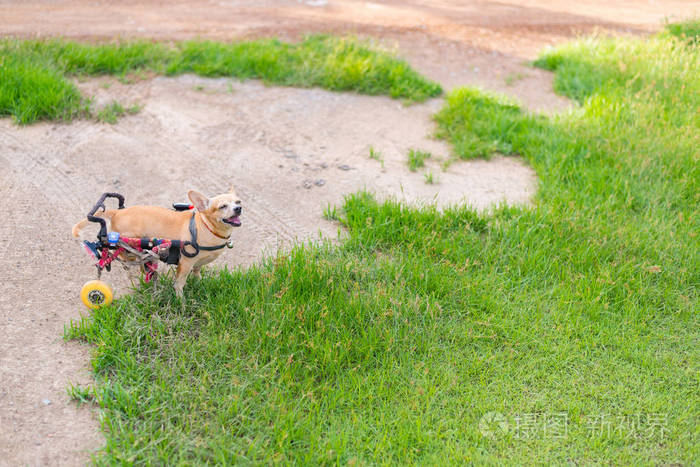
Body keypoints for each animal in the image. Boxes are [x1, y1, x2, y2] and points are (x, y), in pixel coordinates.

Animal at [71, 188, 241, 294]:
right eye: (222, 206)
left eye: (238, 202)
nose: (238, 209)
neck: (206, 226)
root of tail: (117, 213)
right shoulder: (185, 264)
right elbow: (179, 284)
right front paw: (181, 301)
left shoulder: (197, 263)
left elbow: (197, 272)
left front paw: (199, 283)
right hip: (130, 244)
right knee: (123, 258)